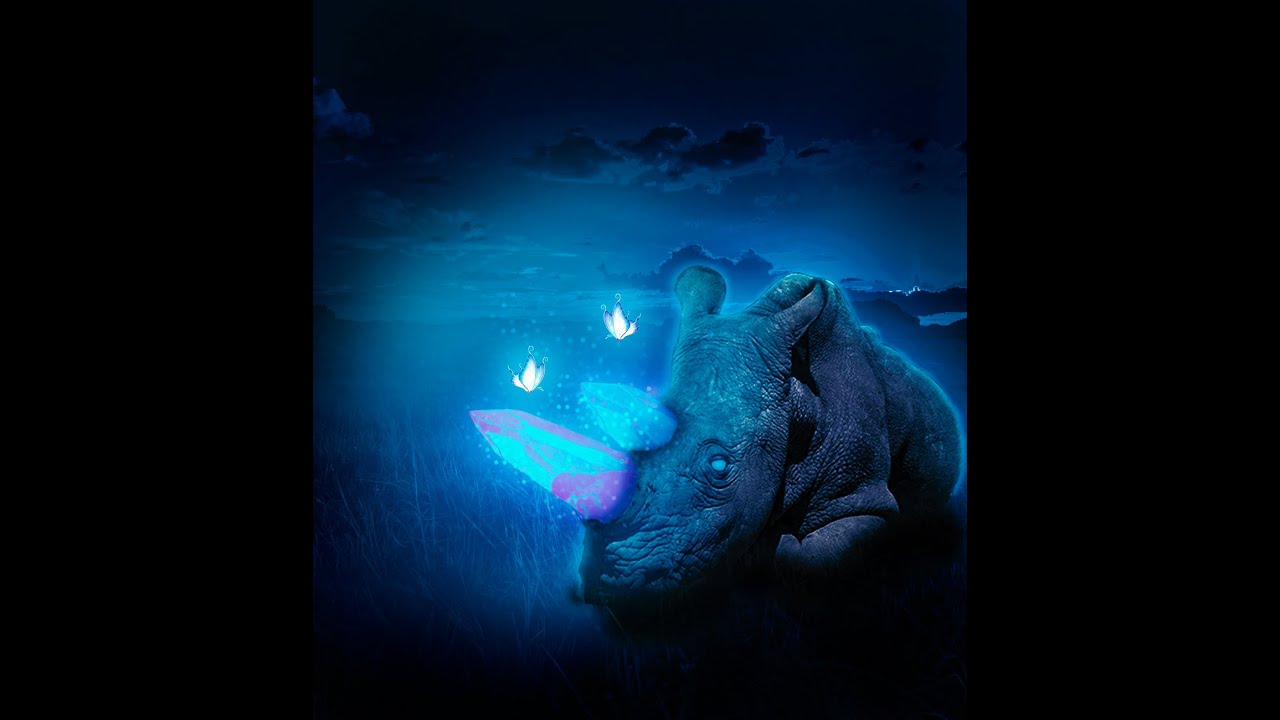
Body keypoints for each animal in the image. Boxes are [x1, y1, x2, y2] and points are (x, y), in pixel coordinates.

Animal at [472, 265, 964, 610]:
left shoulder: (861, 490)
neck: (797, 400)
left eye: (720, 466)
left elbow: (807, 557)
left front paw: (767, 553)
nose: (609, 583)